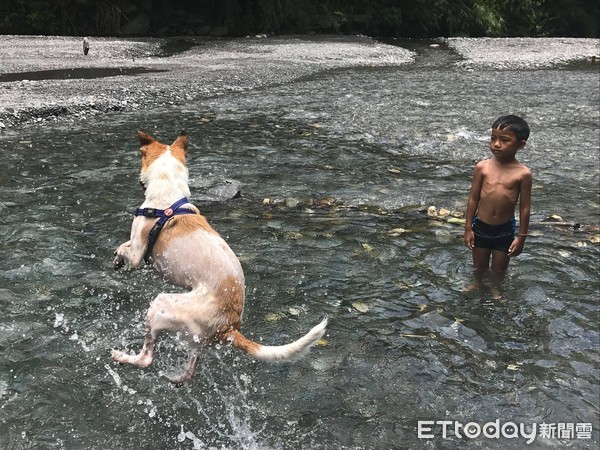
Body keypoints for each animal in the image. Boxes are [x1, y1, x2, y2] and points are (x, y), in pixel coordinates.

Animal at [112, 130, 328, 384]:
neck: (169, 197)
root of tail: (230, 327)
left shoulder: (138, 251)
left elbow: (127, 250)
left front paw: (117, 258)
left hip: (161, 304)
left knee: (147, 358)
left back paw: (123, 357)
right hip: (194, 337)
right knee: (192, 368)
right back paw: (178, 377)